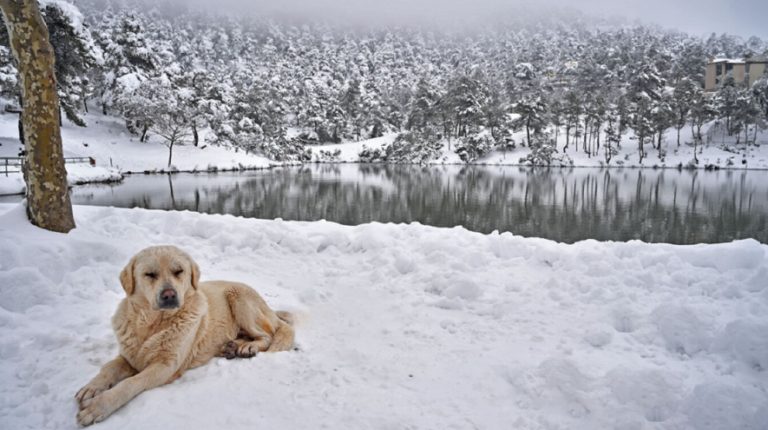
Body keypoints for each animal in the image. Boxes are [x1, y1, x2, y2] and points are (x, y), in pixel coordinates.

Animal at [75, 245, 296, 426]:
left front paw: (98, 406)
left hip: (239, 298)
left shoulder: (165, 365)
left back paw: (248, 347)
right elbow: (108, 368)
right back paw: (231, 346)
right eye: (150, 274)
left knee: (267, 335)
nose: (169, 295)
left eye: (178, 271)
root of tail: (270, 309)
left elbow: (130, 383)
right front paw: (91, 387)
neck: (152, 324)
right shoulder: (128, 357)